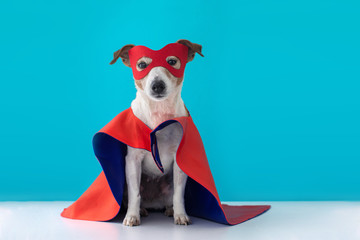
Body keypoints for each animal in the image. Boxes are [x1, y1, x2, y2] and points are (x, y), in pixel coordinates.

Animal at [109, 39, 204, 227]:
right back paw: (141, 210)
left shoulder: (179, 162)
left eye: (172, 61)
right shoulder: (133, 160)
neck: (159, 114)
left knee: (171, 197)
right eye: (141, 65)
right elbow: (135, 194)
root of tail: (153, 203)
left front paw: (180, 215)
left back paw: (170, 209)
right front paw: (132, 216)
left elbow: (178, 195)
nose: (157, 85)